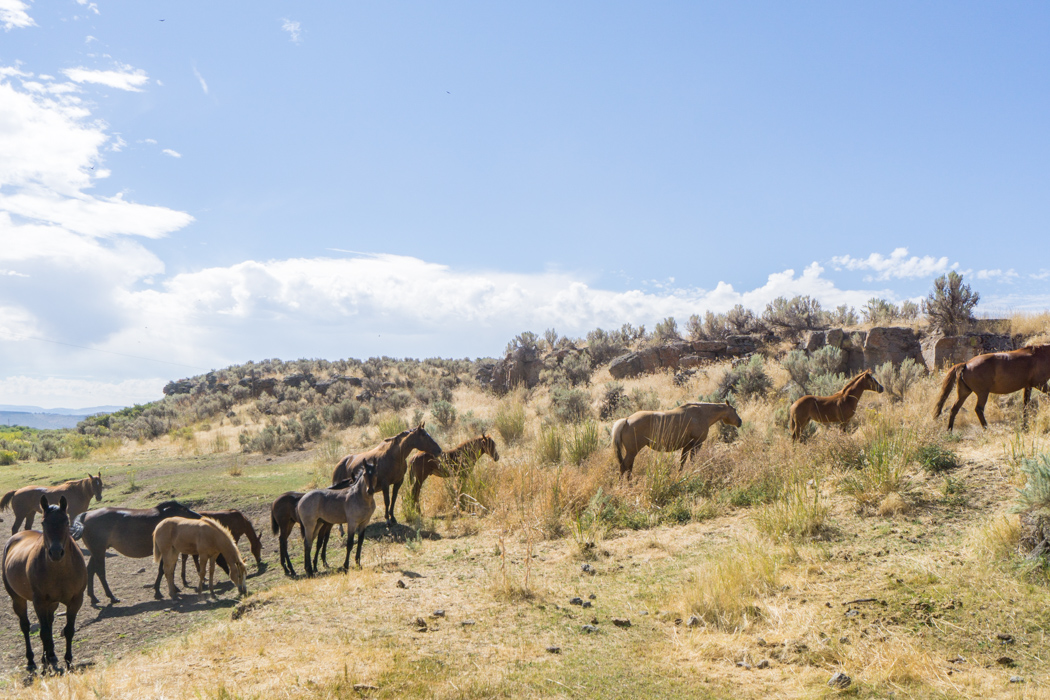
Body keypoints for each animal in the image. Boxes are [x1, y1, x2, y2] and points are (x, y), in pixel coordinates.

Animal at [1, 495, 86, 671]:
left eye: (66, 521)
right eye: (43, 523)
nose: (56, 552)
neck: (60, 571)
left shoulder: (76, 600)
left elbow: (68, 630)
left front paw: (68, 661)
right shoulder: (39, 602)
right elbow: (44, 633)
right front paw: (49, 661)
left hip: (51, 603)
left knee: (48, 622)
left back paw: (47, 657)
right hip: (18, 600)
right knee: (26, 626)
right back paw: (32, 661)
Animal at [613, 402, 743, 478]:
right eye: (735, 410)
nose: (740, 422)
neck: (702, 413)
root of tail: (627, 420)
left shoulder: (687, 446)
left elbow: (682, 463)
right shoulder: (696, 444)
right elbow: (692, 461)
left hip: (632, 452)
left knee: (628, 468)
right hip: (632, 452)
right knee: (623, 467)